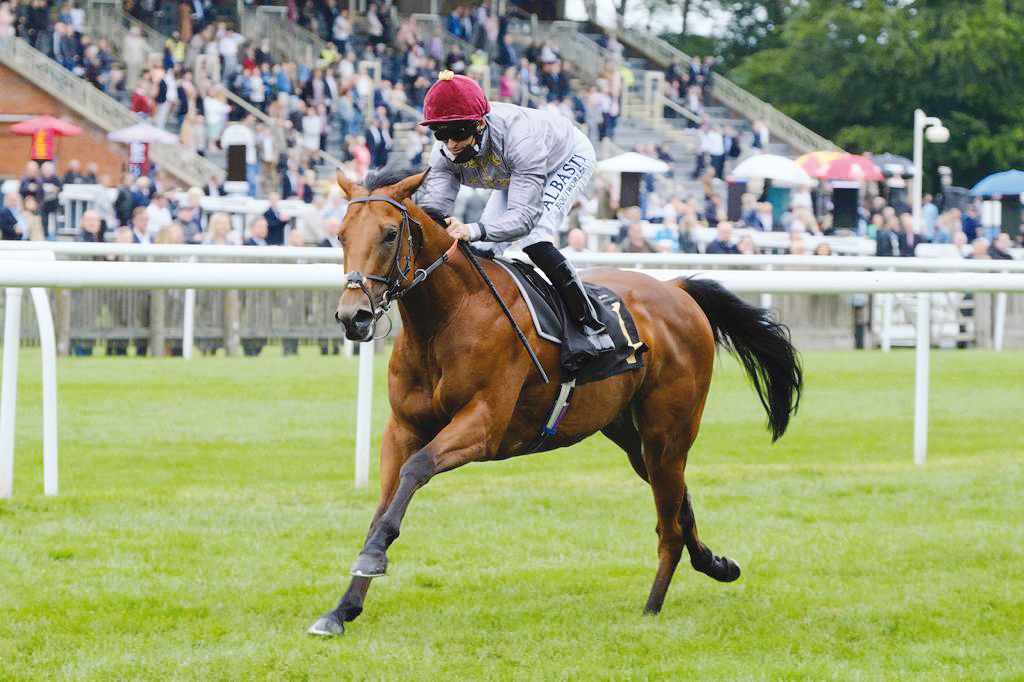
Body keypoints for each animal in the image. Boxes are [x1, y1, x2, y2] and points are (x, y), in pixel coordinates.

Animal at [307, 166, 802, 634]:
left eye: (390, 233)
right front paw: (342, 609)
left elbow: (415, 471)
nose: (354, 316)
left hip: (669, 431)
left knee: (669, 524)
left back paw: (652, 608)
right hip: (633, 436)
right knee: (679, 503)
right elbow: (383, 504)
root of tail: (677, 288)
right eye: (341, 235)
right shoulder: (403, 428)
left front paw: (371, 561)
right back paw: (716, 564)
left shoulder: (483, 426)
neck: (448, 318)